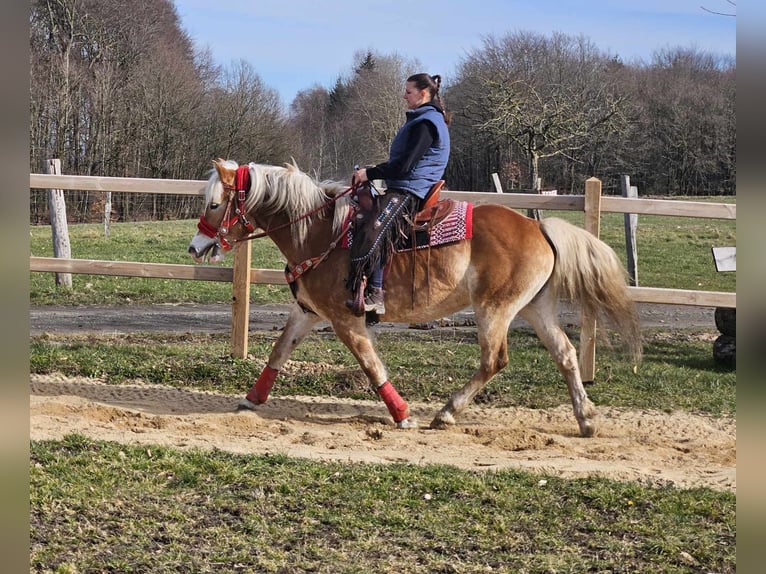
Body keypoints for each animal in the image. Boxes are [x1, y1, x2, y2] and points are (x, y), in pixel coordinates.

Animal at [189, 160, 644, 438]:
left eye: (213, 204)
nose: (195, 247)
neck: (319, 233)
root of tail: (539, 228)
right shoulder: (307, 313)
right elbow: (279, 353)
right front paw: (251, 399)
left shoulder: (346, 319)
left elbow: (371, 366)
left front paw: (403, 414)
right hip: (536, 307)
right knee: (565, 355)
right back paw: (586, 419)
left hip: (494, 309)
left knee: (494, 360)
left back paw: (447, 412)